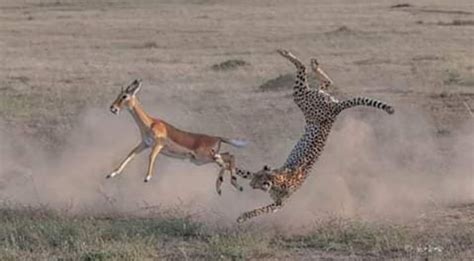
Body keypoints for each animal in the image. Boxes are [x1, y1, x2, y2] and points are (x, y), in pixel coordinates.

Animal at [235, 49, 394, 221]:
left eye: (257, 182)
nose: (250, 185)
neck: (276, 179)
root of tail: (337, 108)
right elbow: (239, 170)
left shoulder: (279, 205)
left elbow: (260, 210)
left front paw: (243, 216)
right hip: (315, 97)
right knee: (325, 83)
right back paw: (313, 64)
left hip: (303, 99)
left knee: (303, 70)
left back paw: (287, 54)